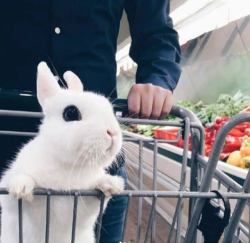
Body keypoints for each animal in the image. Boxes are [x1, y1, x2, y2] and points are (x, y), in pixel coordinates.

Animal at [0, 62, 125, 243]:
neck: (67, 165)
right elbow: (14, 193)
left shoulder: (83, 208)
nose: (113, 133)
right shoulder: (9, 202)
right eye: (71, 113)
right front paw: (21, 186)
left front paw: (111, 184)